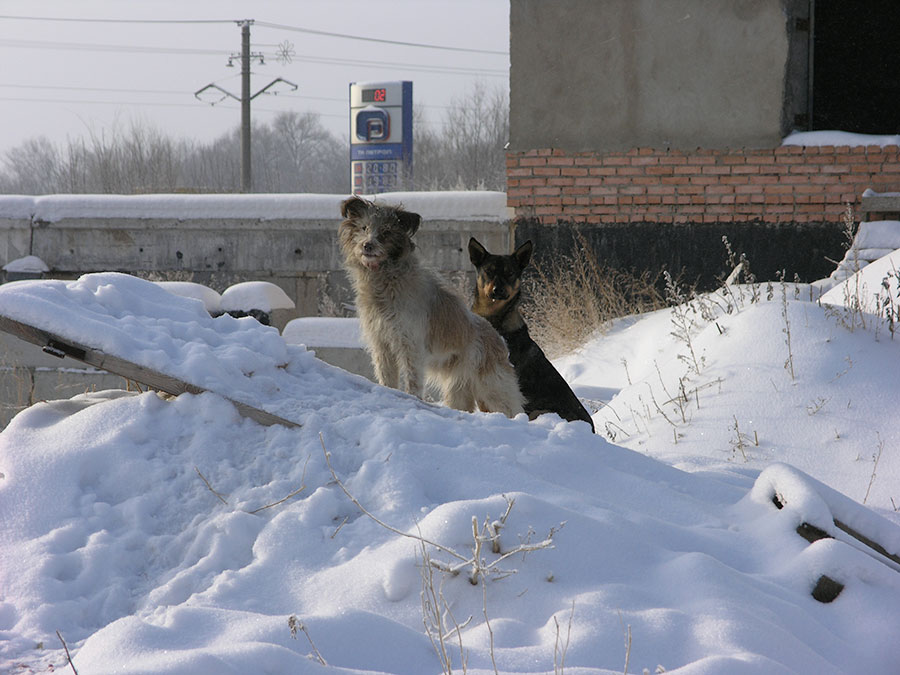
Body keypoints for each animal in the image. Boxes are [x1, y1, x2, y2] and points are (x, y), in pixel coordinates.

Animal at [468, 238, 596, 434]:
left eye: (510, 273)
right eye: (488, 271)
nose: (498, 290)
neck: (494, 317)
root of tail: (591, 429)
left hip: (538, 411)